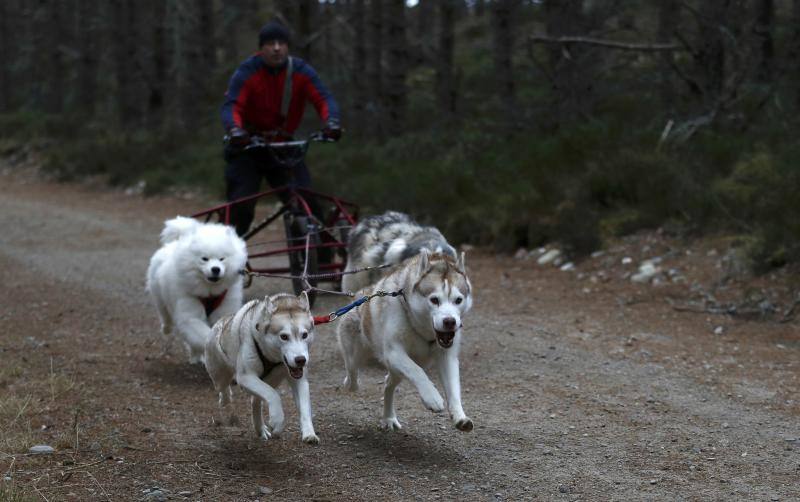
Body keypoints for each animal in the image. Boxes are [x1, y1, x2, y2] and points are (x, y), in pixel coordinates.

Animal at [146, 215, 247, 360]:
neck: (209, 292)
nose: (215, 269)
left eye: (222, 259)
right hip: (160, 298)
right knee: (165, 315)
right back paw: (167, 329)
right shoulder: (190, 316)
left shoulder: (223, 310)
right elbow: (205, 335)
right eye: (204, 259)